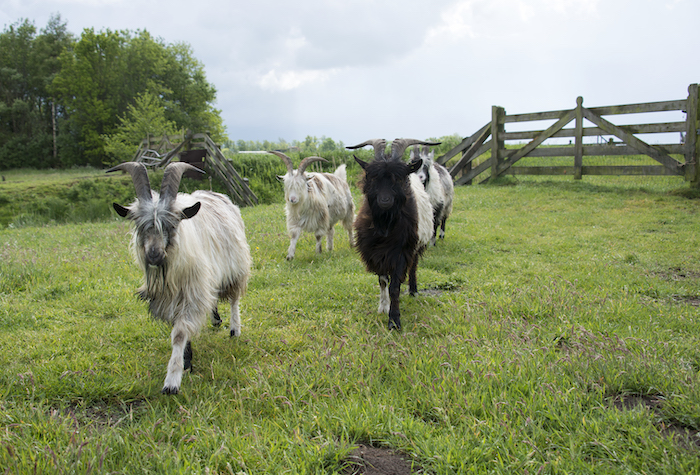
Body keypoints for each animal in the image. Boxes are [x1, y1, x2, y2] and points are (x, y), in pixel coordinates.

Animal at [106, 162, 252, 396]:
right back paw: (216, 320)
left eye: (172, 224)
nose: (154, 255)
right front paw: (186, 361)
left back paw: (234, 329)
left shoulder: (191, 293)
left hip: (236, 267)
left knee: (233, 299)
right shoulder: (173, 297)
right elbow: (180, 329)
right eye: (140, 225)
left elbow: (180, 333)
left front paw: (172, 381)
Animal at [348, 139, 438, 330]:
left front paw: (394, 320)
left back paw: (413, 290)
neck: (385, 226)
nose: (385, 200)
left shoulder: (401, 252)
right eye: (373, 178)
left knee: (414, 267)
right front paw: (383, 307)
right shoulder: (375, 253)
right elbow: (383, 281)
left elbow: (395, 286)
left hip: (416, 245)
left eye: (398, 179)